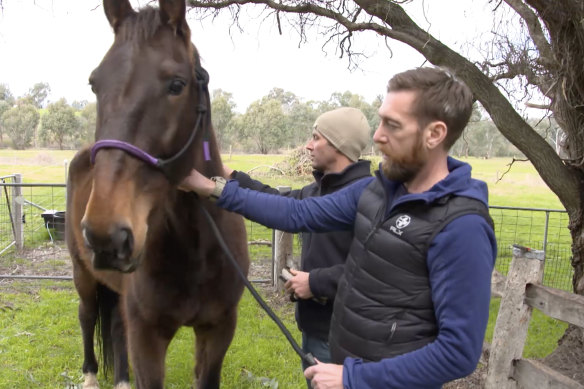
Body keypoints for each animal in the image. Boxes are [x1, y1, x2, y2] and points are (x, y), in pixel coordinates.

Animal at [65, 1, 249, 386]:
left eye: (177, 85)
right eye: (94, 84)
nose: (106, 234)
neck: (195, 246)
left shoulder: (218, 330)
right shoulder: (147, 337)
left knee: (115, 326)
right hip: (82, 274)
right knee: (86, 316)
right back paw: (90, 375)